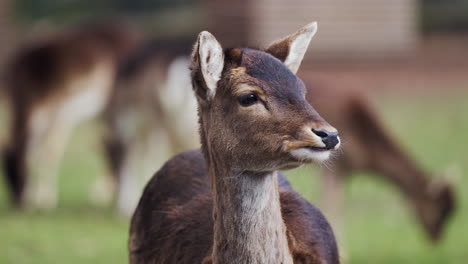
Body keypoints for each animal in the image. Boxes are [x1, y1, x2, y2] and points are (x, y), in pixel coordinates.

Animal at [1, 21, 141, 209]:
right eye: (5, 175)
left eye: (19, 169)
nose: (17, 203)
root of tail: (135, 35)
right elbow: (38, 151)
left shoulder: (59, 110)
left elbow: (50, 150)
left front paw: (46, 198)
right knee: (112, 145)